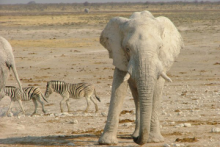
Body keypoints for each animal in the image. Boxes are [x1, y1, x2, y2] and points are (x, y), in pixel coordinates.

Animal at [98, 10, 184, 145]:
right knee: (136, 95)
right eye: (127, 48)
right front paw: (107, 142)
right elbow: (118, 88)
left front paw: (154, 140)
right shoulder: (119, 54)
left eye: (160, 47)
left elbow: (157, 88)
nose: (135, 140)